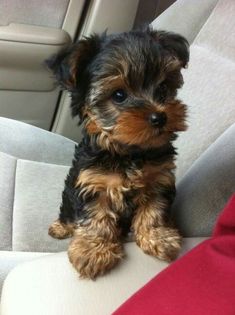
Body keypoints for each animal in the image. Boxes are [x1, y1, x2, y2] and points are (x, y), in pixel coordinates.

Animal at [47, 27, 189, 278]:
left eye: (163, 88)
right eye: (119, 95)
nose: (160, 117)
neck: (130, 152)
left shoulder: (159, 178)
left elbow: (154, 208)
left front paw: (158, 236)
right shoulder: (93, 181)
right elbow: (96, 216)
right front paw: (93, 250)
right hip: (69, 191)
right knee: (67, 209)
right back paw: (61, 227)